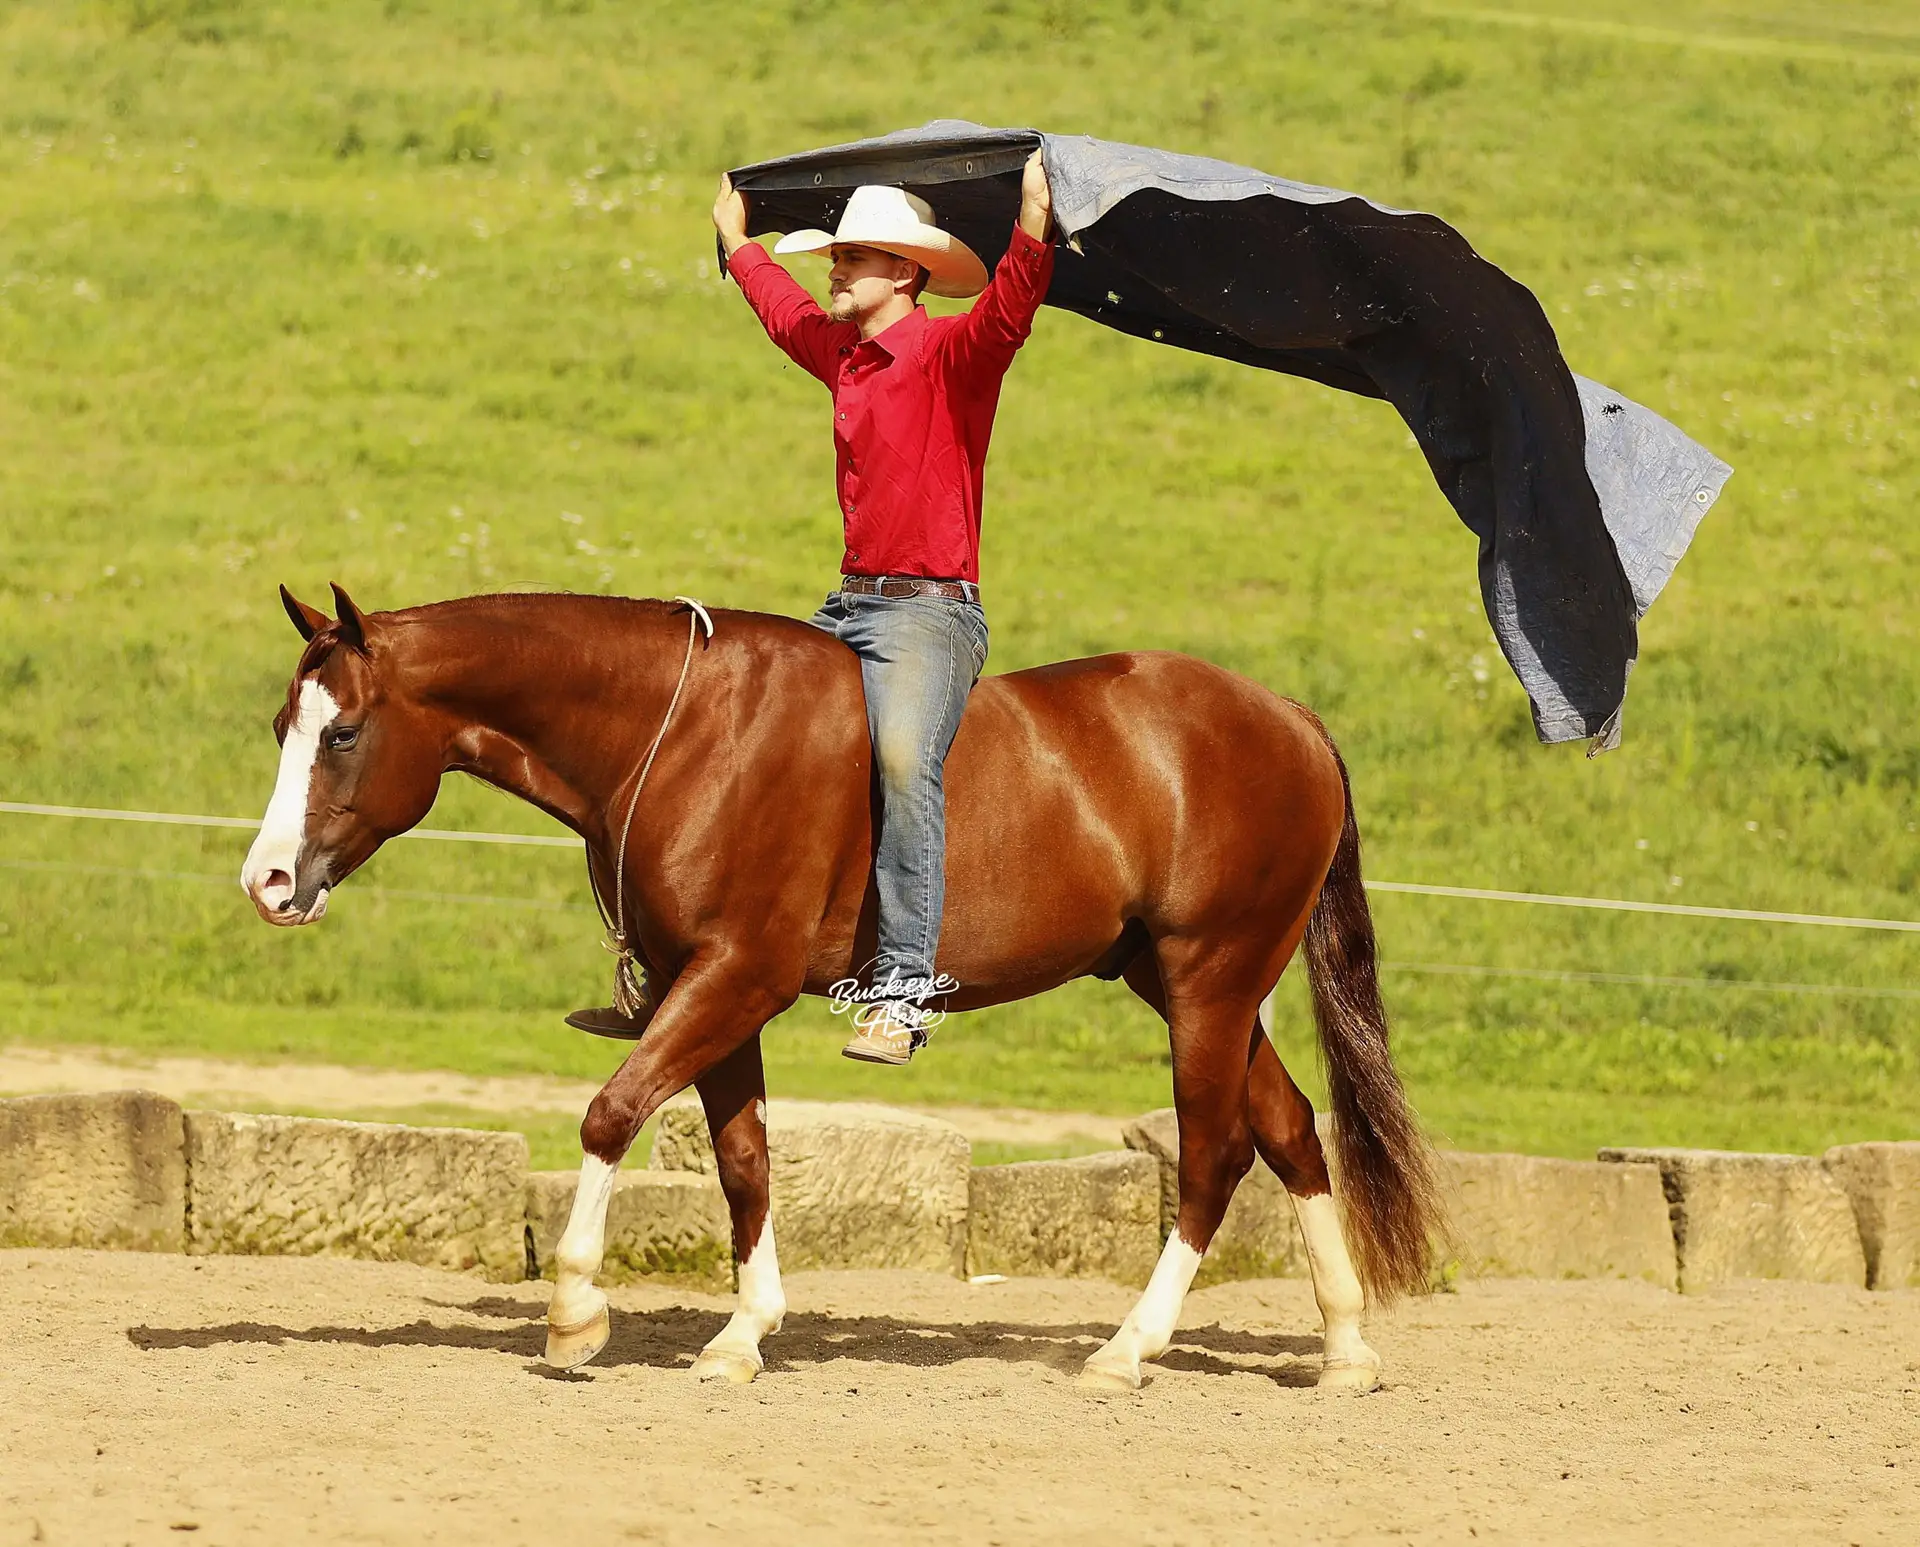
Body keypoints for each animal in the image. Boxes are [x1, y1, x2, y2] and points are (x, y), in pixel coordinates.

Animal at [241, 584, 1442, 1392]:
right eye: (282, 727)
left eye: (343, 730)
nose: (268, 880)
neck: (682, 731)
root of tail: (1291, 718)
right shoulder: (704, 988)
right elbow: (743, 1161)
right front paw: (741, 1335)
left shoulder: (737, 977)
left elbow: (612, 1112)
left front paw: (577, 1311)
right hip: (1189, 982)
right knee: (1291, 1130)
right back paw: (1344, 1348)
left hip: (1210, 981)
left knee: (1216, 1153)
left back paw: (1126, 1349)